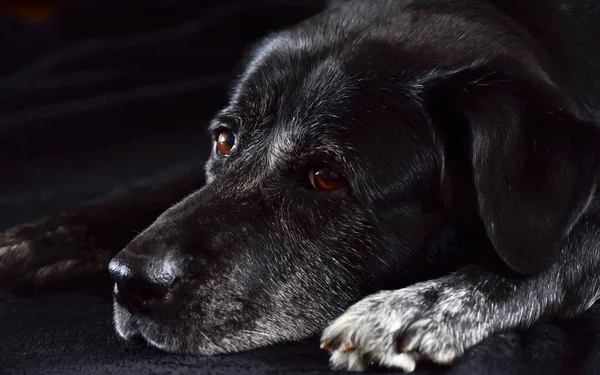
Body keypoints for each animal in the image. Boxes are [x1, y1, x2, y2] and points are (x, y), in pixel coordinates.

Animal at [3, 0, 600, 372]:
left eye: (326, 177)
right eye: (224, 141)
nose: (129, 281)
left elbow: (567, 251)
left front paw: (418, 307)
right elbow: (159, 190)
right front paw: (38, 239)